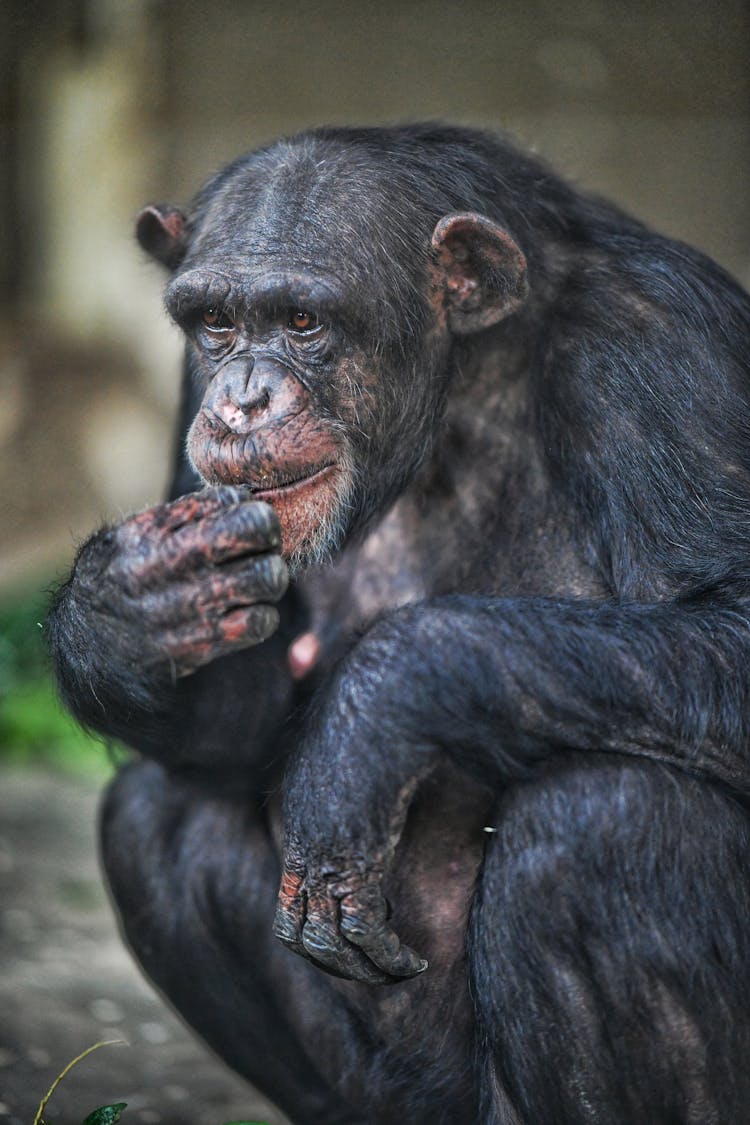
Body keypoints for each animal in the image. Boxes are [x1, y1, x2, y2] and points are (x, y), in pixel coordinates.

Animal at [45, 125, 750, 1125]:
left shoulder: (668, 351)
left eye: (303, 321)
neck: (464, 382)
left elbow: (733, 622)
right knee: (159, 813)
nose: (242, 396)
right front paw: (123, 614)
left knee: (599, 827)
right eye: (216, 321)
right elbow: (250, 711)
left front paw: (364, 725)